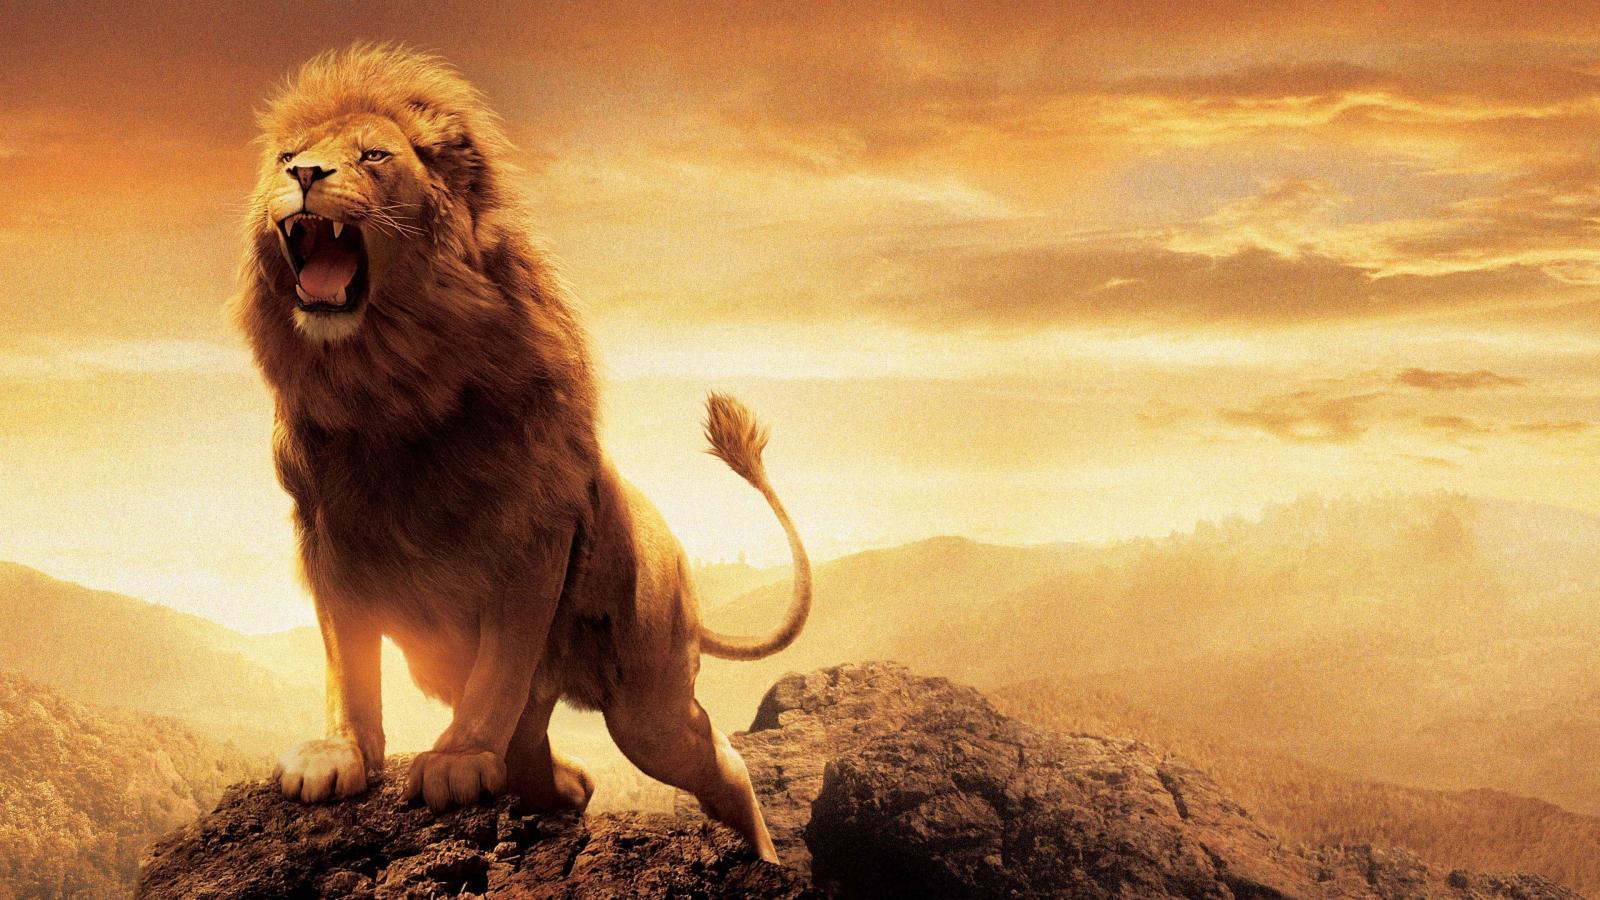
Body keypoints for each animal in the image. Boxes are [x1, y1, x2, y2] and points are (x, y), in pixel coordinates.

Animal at [235, 44, 811, 863]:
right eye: (288, 158)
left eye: (374, 156)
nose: (306, 175)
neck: (387, 384)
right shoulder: (329, 537)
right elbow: (348, 662)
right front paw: (338, 754)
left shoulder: (531, 536)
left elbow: (499, 669)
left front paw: (457, 760)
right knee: (539, 747)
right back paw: (568, 785)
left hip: (650, 703)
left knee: (715, 759)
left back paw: (763, 857)